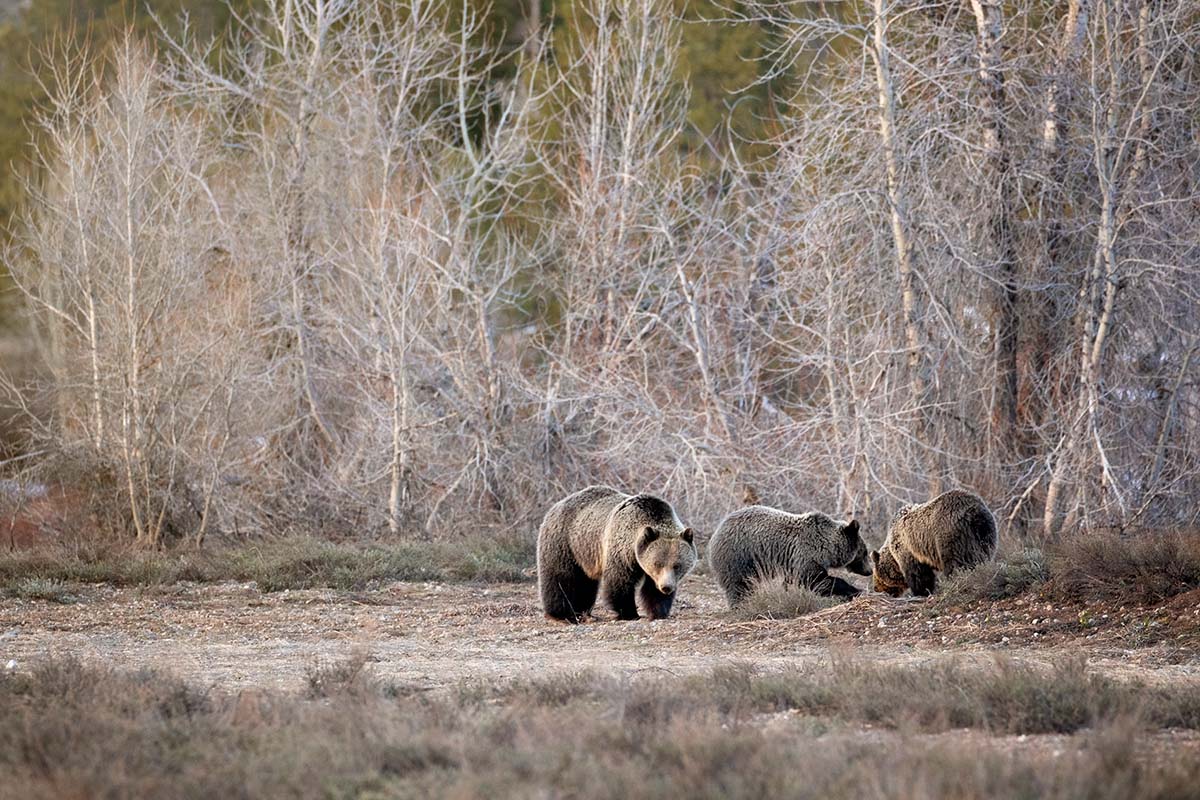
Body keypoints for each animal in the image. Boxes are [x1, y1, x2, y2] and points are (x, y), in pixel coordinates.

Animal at [537, 486, 697, 623]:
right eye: (657, 564)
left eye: (677, 565)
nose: (666, 587)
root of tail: (555, 506)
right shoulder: (621, 551)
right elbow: (619, 582)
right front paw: (630, 613)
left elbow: (652, 590)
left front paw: (658, 612)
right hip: (565, 542)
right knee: (561, 578)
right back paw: (562, 614)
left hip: (584, 553)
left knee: (586, 583)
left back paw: (582, 611)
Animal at [707, 504, 870, 607]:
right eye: (865, 552)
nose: (869, 571)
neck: (827, 548)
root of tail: (715, 533)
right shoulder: (807, 555)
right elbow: (816, 580)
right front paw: (855, 590)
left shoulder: (792, 561)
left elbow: (794, 580)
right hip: (740, 556)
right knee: (739, 584)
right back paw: (741, 606)